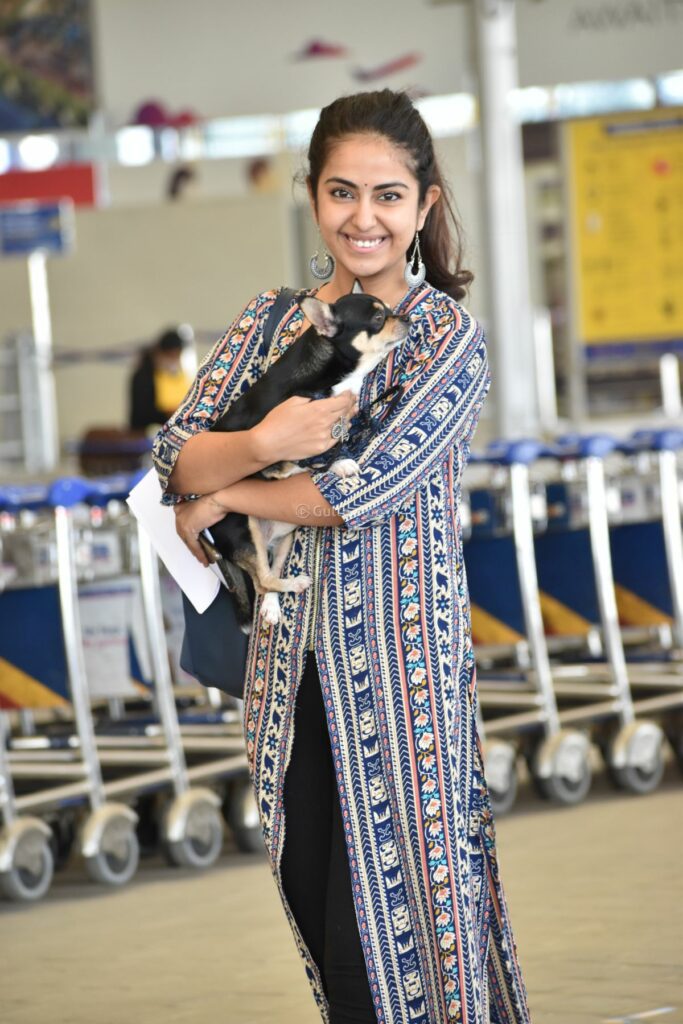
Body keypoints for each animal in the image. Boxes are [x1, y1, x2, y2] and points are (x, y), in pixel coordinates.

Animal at [200, 290, 409, 630]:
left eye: (391, 310)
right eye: (379, 318)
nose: (406, 317)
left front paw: (338, 457)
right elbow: (310, 453)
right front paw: (339, 462)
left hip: (284, 535)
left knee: (268, 573)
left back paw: (273, 605)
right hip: (244, 528)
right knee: (262, 580)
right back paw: (295, 583)